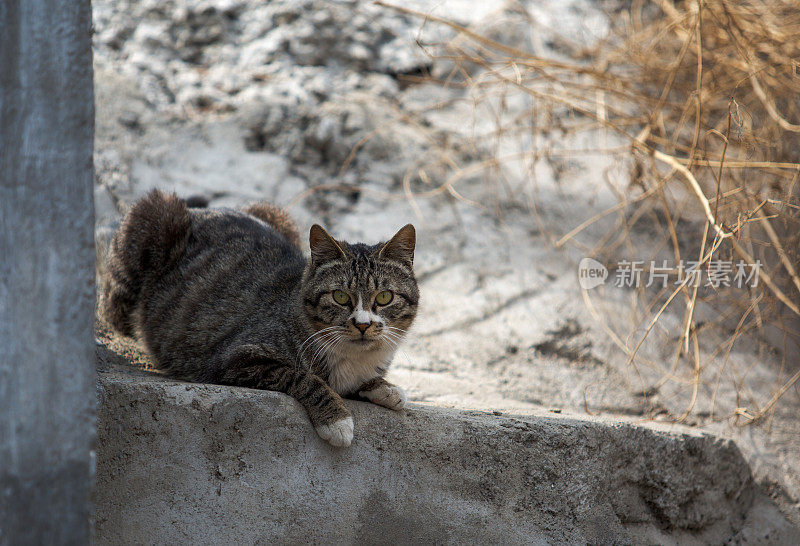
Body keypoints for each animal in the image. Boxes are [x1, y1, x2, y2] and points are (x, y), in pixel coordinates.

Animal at [103, 189, 422, 444]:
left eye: (384, 297)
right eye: (340, 297)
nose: (363, 324)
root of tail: (198, 210)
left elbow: (363, 381)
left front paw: (386, 389)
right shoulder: (235, 360)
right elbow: (303, 377)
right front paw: (337, 421)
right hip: (153, 221)